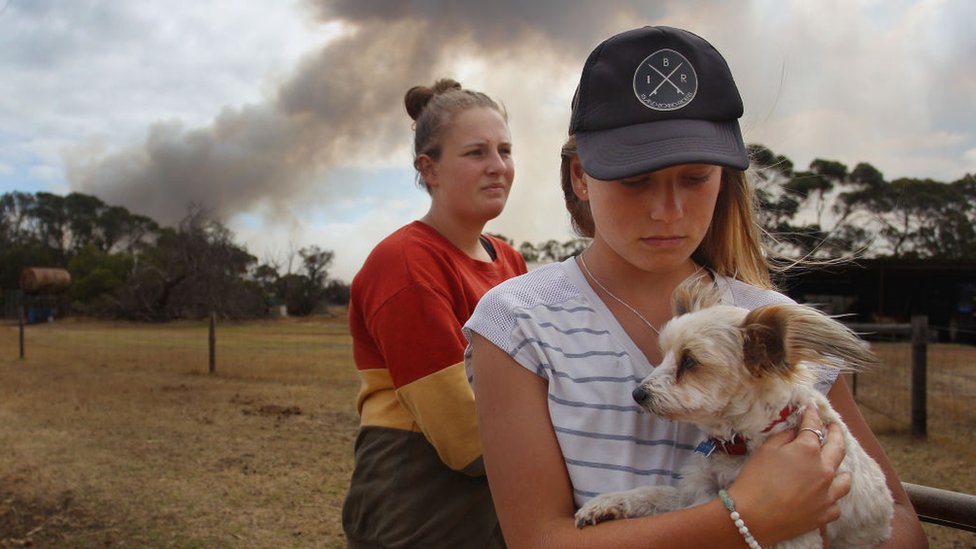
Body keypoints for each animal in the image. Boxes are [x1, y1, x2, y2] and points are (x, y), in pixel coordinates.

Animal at [576, 278, 896, 548]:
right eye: (663, 355)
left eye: (689, 361)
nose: (638, 394)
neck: (738, 441)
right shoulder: (696, 493)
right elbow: (652, 493)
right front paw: (605, 504)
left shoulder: (797, 531)